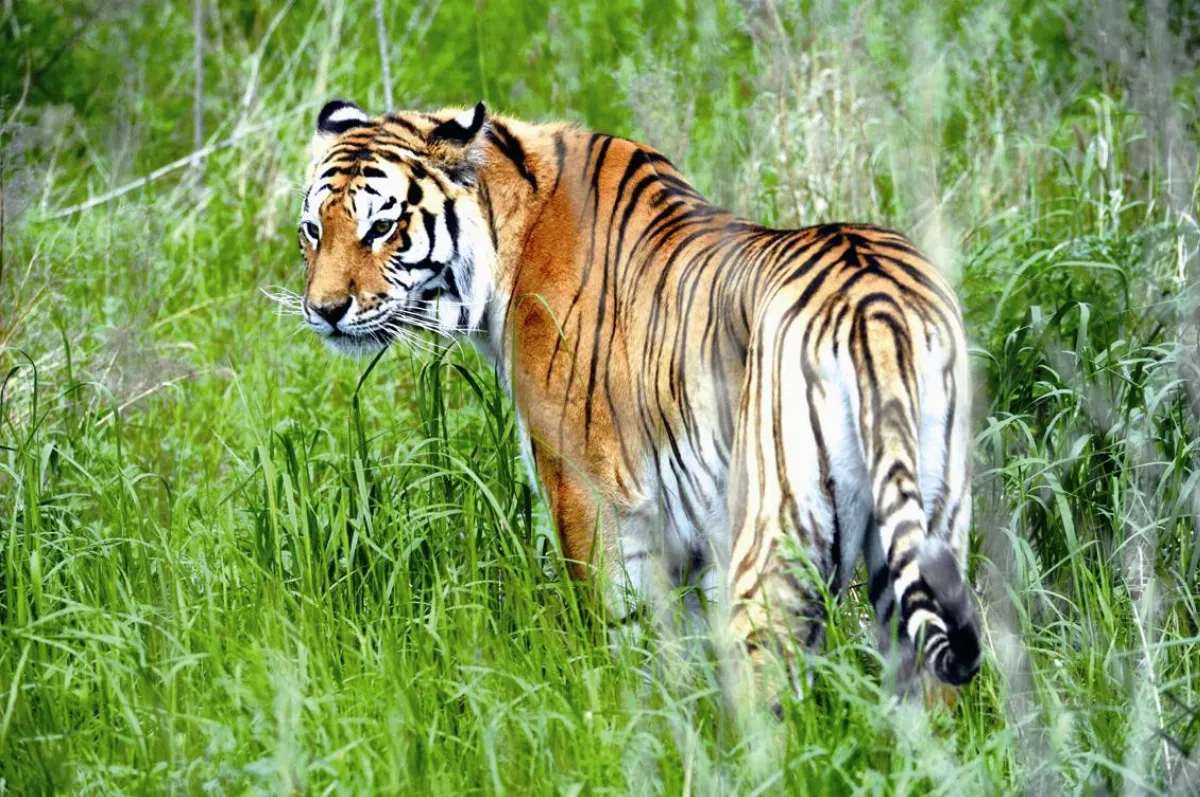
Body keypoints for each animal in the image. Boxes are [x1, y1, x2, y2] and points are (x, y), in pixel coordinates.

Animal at [294, 98, 983, 705]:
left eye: (381, 227)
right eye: (312, 230)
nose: (324, 311)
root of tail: (876, 308)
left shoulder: (587, 489)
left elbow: (623, 627)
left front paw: (627, 719)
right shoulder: (698, 525)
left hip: (776, 530)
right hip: (932, 523)